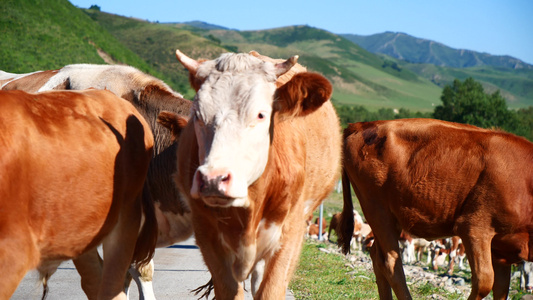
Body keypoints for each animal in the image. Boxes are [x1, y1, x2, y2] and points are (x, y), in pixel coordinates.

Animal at [164, 50, 340, 298]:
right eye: (197, 115)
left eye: (260, 115)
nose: (213, 179)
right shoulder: (207, 235)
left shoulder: (290, 234)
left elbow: (269, 290)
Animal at [336, 119, 532, 300]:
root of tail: (363, 124)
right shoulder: (475, 228)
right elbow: (484, 282)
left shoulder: (501, 250)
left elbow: (502, 289)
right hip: (377, 210)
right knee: (391, 263)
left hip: (390, 218)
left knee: (377, 256)